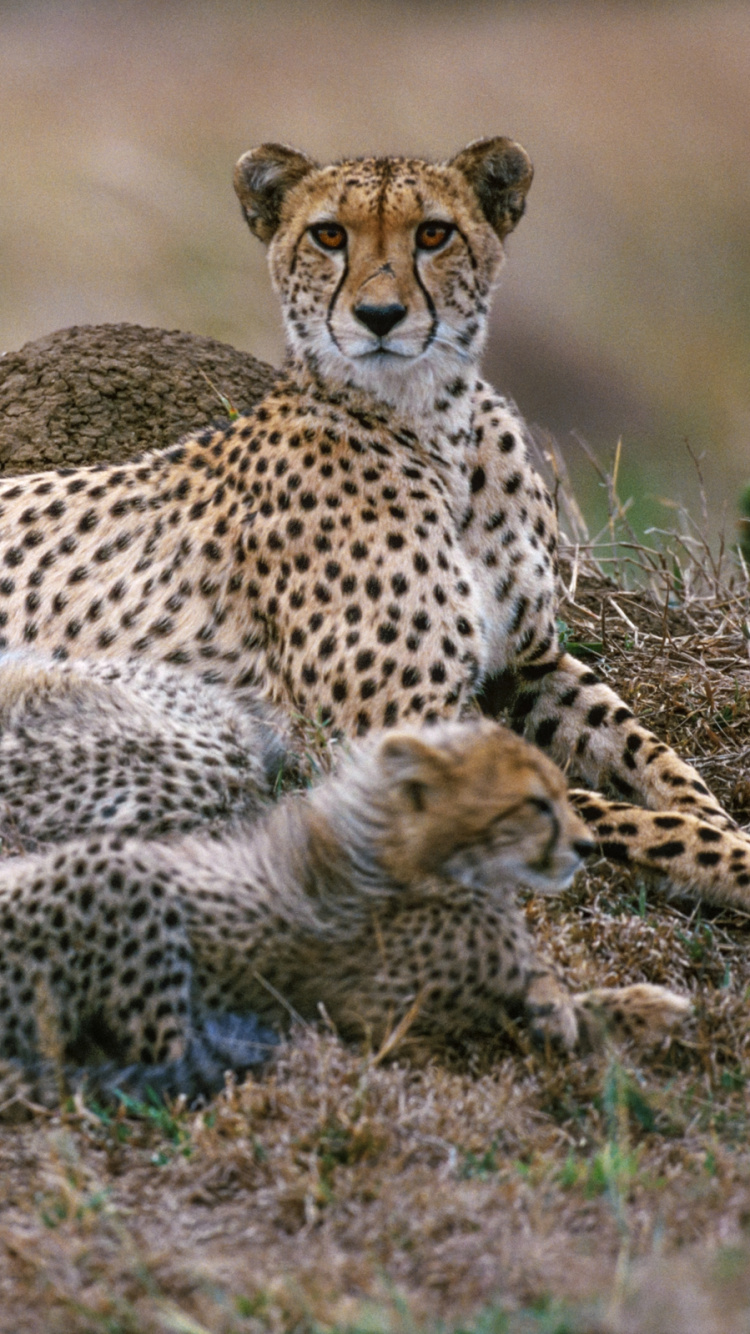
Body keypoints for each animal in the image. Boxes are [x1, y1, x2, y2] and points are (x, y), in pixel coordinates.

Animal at [0, 136, 747, 907]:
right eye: (329, 235)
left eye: (434, 233)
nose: (380, 316)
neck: (434, 426)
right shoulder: (387, 732)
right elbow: (608, 813)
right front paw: (731, 863)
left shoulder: (530, 662)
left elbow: (653, 755)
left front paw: (720, 823)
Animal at [0, 716, 690, 1112]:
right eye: (536, 804)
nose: (587, 846)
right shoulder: (397, 1027)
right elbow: (541, 1018)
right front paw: (635, 1010)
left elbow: (560, 993)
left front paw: (640, 1004)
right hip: (118, 877)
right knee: (153, 1058)